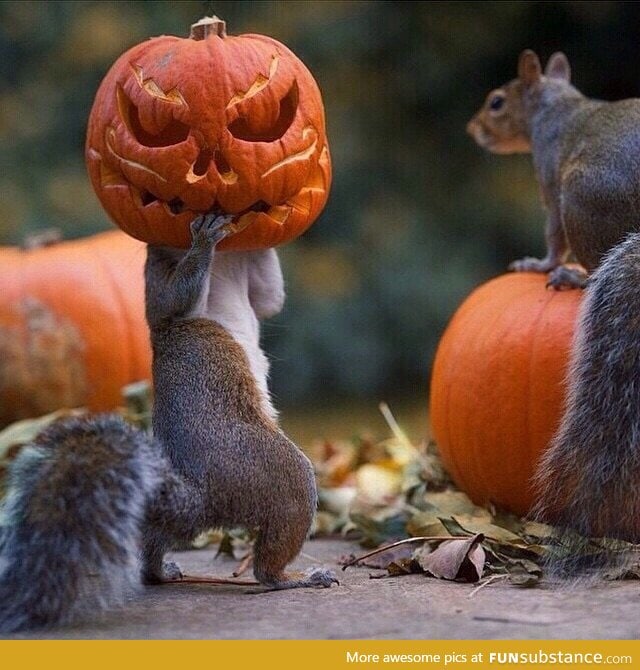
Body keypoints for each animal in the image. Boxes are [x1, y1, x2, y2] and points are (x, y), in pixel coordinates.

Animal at [0, 215, 338, 636]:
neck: (226, 262)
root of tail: (203, 496)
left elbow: (268, 298)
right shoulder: (157, 280)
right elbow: (172, 302)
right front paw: (204, 238)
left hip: (176, 522)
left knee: (155, 546)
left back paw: (161, 570)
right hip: (281, 476)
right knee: (268, 564)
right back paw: (295, 577)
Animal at [468, 47, 640, 572]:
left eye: (497, 102)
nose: (473, 129)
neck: (558, 106)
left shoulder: (548, 178)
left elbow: (550, 236)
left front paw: (540, 263)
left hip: (580, 198)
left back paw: (574, 277)